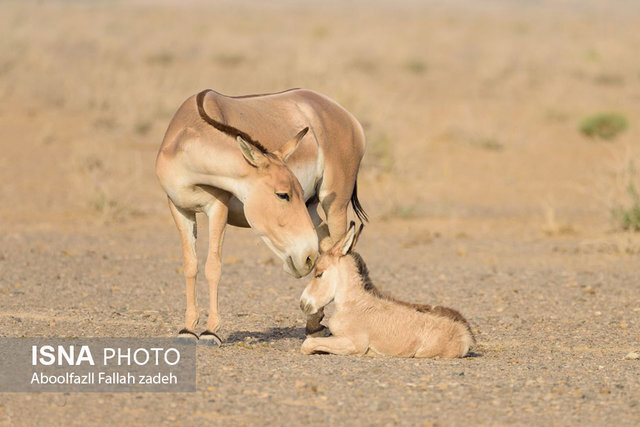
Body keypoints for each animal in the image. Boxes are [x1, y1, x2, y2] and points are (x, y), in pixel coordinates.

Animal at [298, 222, 472, 360]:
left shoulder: (353, 343)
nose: (303, 304)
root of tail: (466, 333)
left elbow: (307, 344)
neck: (355, 304)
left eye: (319, 274)